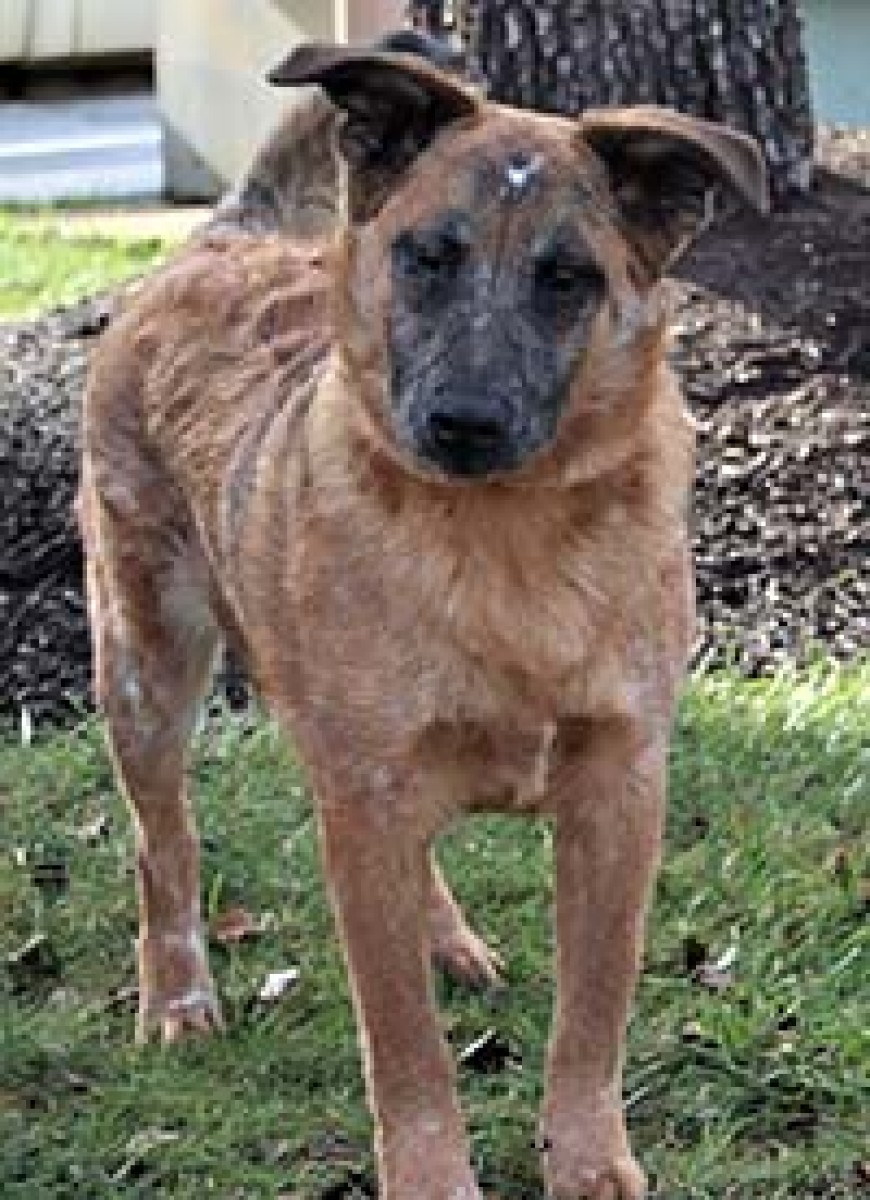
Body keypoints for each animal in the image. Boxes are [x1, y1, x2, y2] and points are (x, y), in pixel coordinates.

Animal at [80, 41, 767, 1200]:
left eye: (568, 278)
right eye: (426, 256)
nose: (464, 422)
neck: (508, 546)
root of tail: (226, 241)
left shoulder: (620, 791)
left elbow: (592, 1020)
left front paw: (588, 1160)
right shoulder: (370, 792)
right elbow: (404, 1049)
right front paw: (433, 1177)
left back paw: (446, 939)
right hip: (147, 662)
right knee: (161, 843)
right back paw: (178, 998)